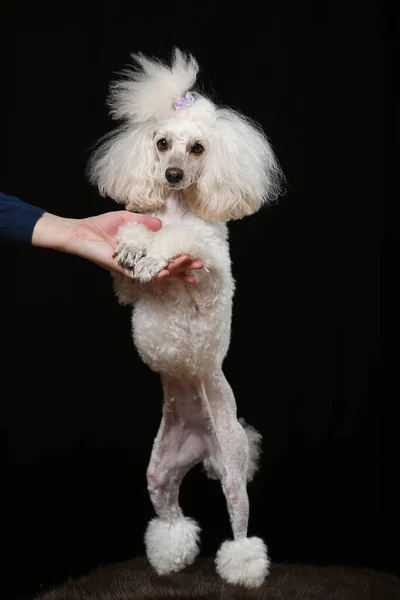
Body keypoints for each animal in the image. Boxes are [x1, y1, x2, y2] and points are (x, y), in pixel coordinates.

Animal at [89, 48, 282, 592]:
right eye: (161, 144)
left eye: (197, 148)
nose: (172, 175)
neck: (177, 207)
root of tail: (202, 447)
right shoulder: (127, 290)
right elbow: (134, 253)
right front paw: (134, 247)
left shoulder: (209, 275)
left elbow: (183, 243)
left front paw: (157, 252)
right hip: (161, 469)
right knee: (171, 515)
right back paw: (169, 557)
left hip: (234, 470)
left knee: (239, 524)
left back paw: (242, 570)